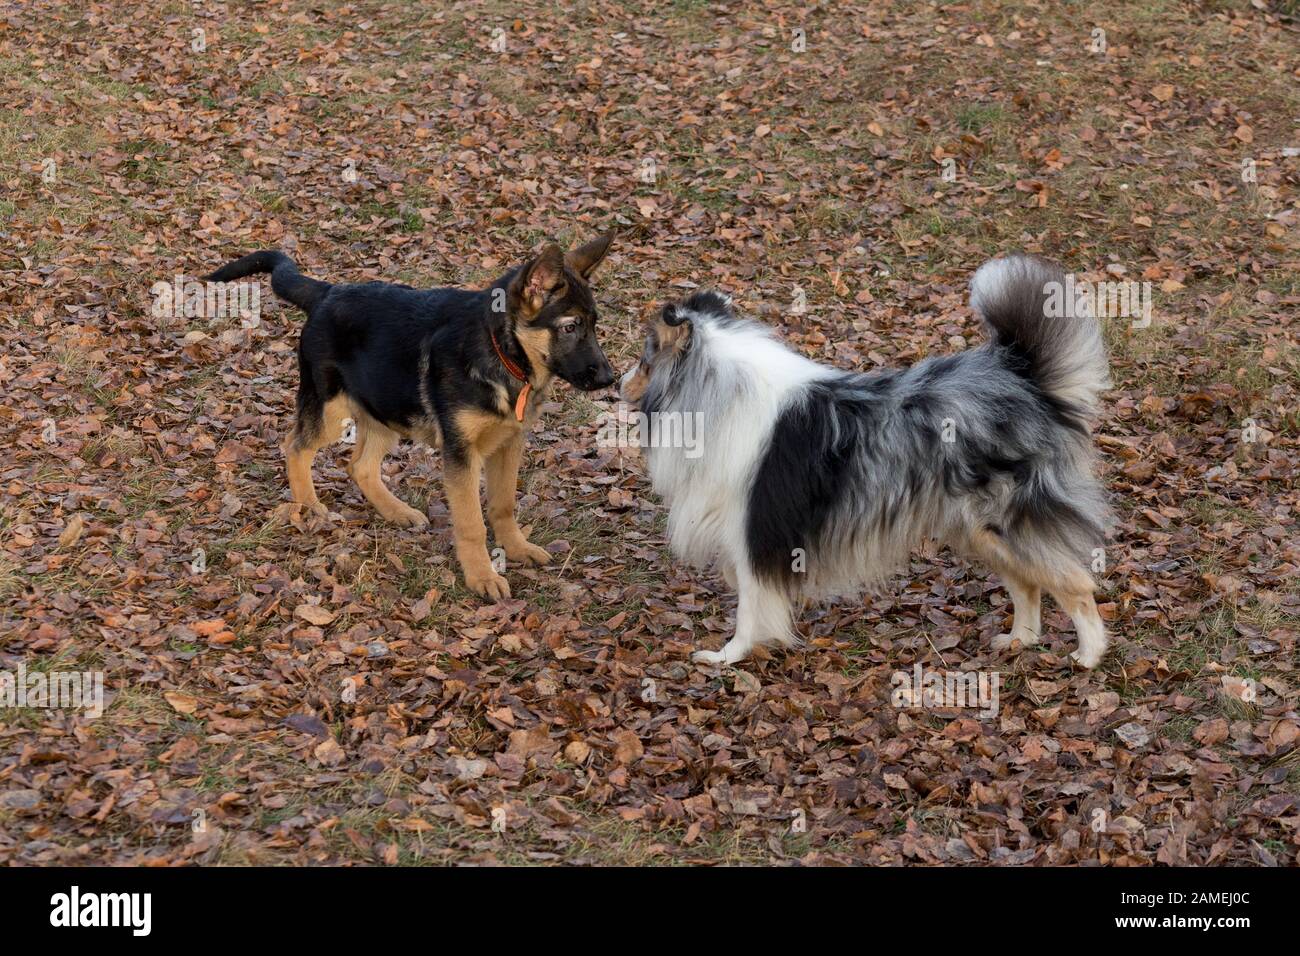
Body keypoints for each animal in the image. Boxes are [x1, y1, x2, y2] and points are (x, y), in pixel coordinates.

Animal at [204, 235, 618, 598]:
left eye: (595, 324)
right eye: (570, 327)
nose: (610, 378)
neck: (500, 352)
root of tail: (327, 292)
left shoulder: (509, 444)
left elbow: (503, 505)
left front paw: (516, 548)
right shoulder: (461, 455)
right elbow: (471, 522)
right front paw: (482, 576)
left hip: (385, 410)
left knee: (360, 466)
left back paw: (396, 511)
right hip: (331, 409)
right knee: (296, 446)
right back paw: (309, 507)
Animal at [624, 257, 1112, 671]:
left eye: (645, 358)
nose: (616, 381)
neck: (715, 392)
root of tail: (1023, 377)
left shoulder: (753, 533)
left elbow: (749, 610)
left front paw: (728, 656)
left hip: (1010, 520)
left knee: (1076, 585)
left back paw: (1088, 656)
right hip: (979, 529)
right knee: (1028, 584)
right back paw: (1019, 640)